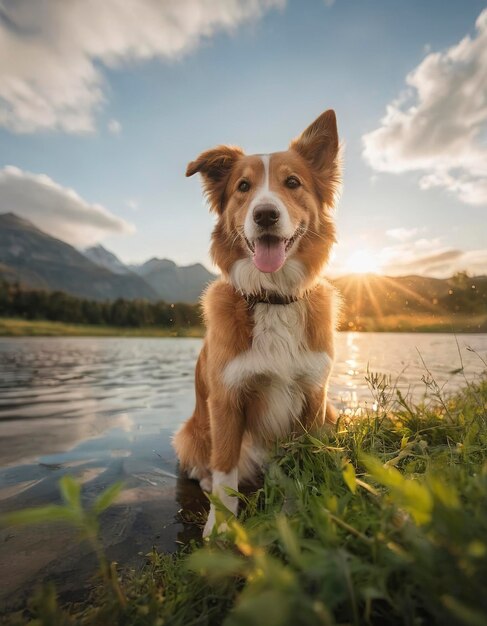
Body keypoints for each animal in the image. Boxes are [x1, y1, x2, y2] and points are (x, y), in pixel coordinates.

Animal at [173, 108, 342, 536]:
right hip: (190, 432)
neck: (274, 299)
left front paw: (299, 509)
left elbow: (305, 459)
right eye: (243, 187)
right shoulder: (226, 399)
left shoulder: (314, 396)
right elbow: (225, 470)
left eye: (293, 182)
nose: (265, 214)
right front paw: (220, 529)